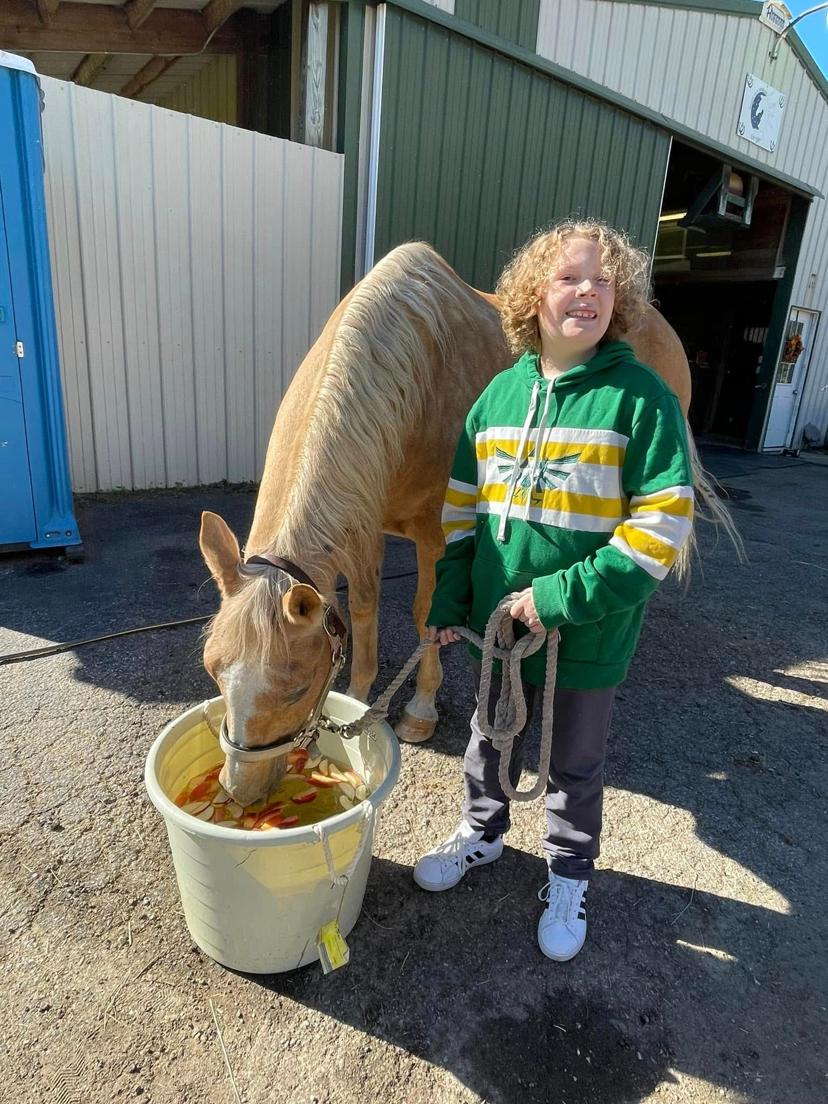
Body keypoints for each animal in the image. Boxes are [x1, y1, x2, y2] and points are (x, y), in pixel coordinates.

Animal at [200, 242, 705, 807]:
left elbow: (427, 616)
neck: (409, 377)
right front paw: (358, 696)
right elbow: (363, 609)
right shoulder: (362, 525)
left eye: (294, 687)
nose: (239, 790)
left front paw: (420, 711)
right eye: (213, 669)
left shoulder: (435, 535)